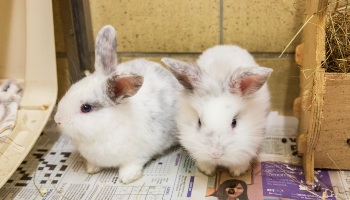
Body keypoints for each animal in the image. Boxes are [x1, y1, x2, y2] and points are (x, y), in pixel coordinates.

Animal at [55, 25, 180, 184]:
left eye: (86, 108)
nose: (57, 120)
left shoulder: (137, 156)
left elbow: (131, 165)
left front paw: (127, 178)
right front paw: (91, 169)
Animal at [161, 45, 274, 177]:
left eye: (234, 122)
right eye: (199, 122)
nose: (215, 154)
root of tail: (227, 45)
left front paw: (237, 172)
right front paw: (207, 171)